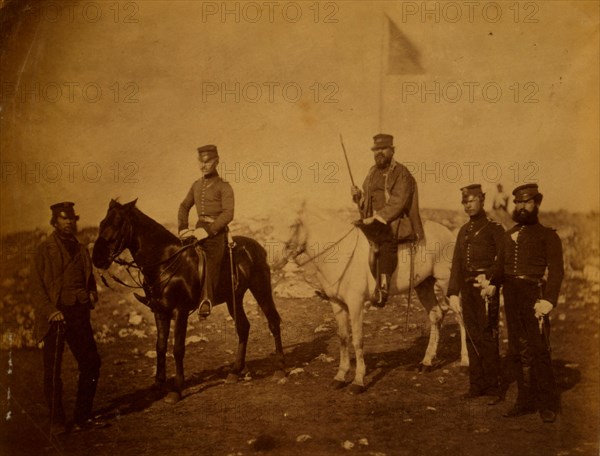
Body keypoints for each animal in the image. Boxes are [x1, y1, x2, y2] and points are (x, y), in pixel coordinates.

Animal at [91, 200, 284, 402]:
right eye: (102, 223)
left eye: (117, 223)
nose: (97, 258)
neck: (165, 263)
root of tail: (257, 247)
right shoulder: (160, 312)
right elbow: (160, 347)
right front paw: (158, 385)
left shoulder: (180, 311)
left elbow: (177, 348)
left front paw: (176, 389)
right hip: (234, 299)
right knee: (243, 327)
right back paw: (234, 371)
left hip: (260, 289)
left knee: (273, 321)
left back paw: (280, 368)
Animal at [278, 205, 468, 394]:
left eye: (293, 224)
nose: (277, 258)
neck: (341, 251)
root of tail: (448, 232)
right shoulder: (336, 304)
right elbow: (343, 338)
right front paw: (340, 376)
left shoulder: (355, 304)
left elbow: (357, 340)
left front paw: (358, 380)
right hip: (424, 285)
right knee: (436, 315)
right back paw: (427, 361)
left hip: (446, 283)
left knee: (460, 316)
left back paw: (465, 361)